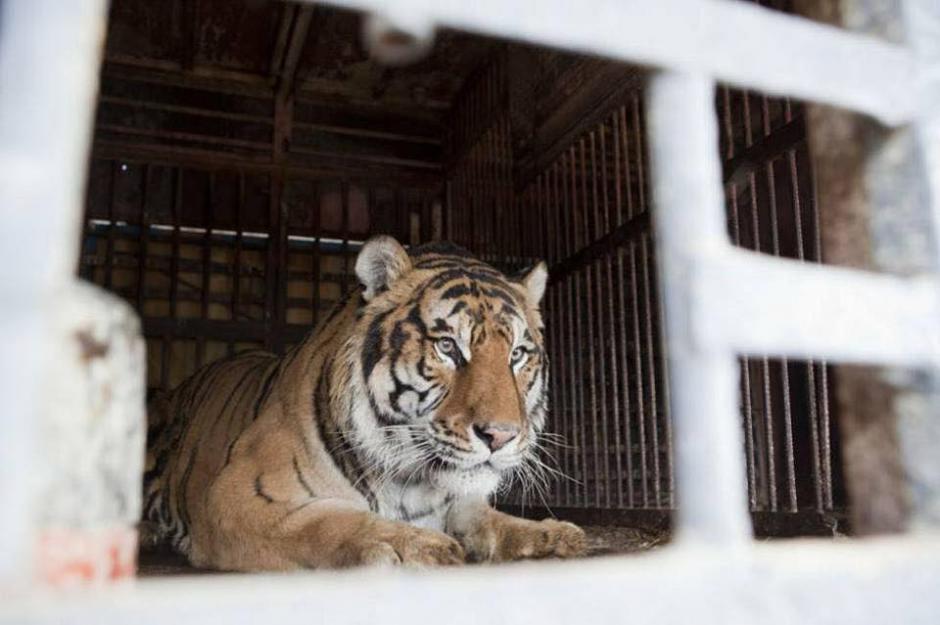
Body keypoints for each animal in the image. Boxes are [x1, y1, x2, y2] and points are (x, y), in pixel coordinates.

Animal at [142, 235, 586, 570]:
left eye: (517, 354)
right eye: (447, 347)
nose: (500, 436)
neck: (414, 484)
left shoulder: (461, 501)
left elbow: (492, 521)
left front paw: (553, 535)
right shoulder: (236, 494)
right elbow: (323, 521)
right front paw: (413, 545)